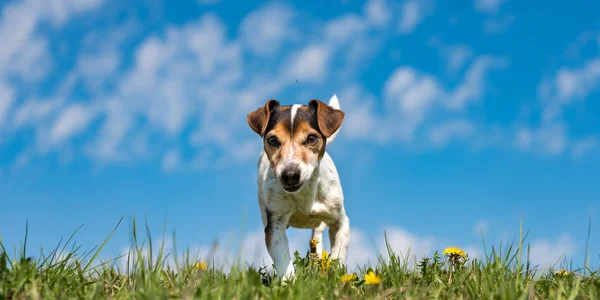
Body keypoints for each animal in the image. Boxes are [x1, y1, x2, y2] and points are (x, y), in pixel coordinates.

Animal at [247, 94, 352, 282]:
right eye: (273, 140)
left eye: (311, 138)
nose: (290, 175)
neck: (305, 193)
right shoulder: (275, 224)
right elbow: (283, 259)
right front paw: (288, 282)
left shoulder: (341, 223)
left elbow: (338, 256)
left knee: (317, 235)